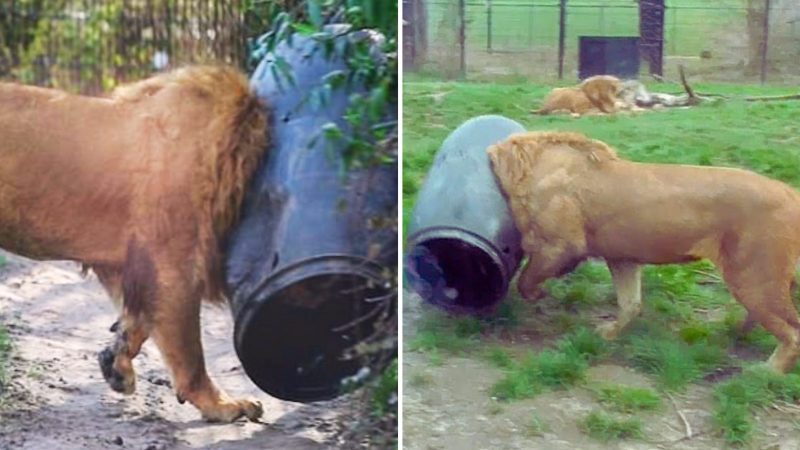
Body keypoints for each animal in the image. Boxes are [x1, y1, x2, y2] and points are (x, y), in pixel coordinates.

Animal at [0, 66, 268, 422]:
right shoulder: (173, 266)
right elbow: (190, 355)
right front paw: (224, 406)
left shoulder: (127, 263)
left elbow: (137, 322)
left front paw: (115, 363)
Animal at [484, 132, 800, 374]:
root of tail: (791, 192)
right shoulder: (622, 257)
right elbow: (630, 303)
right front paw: (609, 334)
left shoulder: (561, 245)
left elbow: (526, 280)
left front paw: (540, 295)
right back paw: (738, 332)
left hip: (752, 276)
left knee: (792, 332)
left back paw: (767, 371)